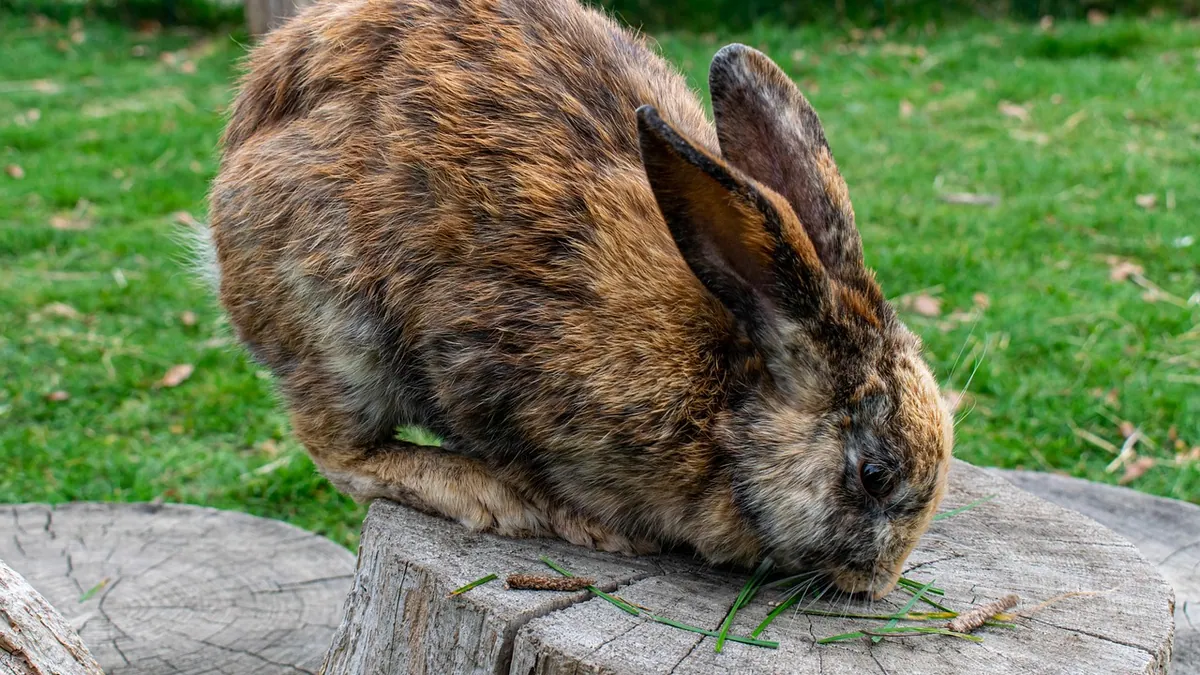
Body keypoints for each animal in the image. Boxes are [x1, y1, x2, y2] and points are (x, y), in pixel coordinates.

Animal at [204, 0, 953, 598]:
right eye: (875, 474)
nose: (881, 583)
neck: (728, 404)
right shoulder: (479, 365)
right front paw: (583, 524)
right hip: (334, 317)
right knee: (337, 448)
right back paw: (484, 492)